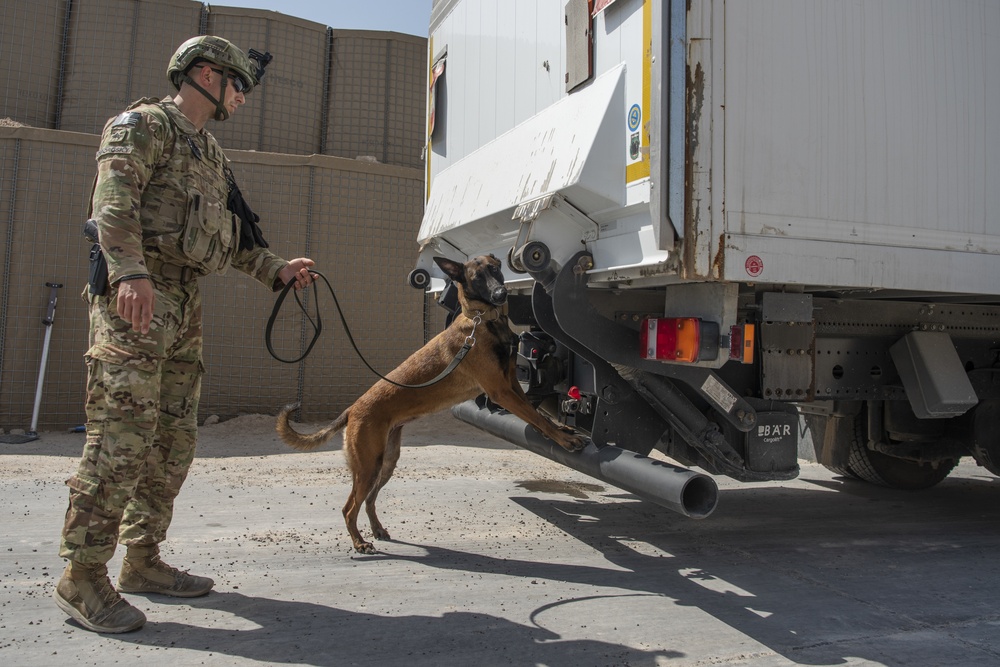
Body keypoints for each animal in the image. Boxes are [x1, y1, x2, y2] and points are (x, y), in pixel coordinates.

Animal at [278, 256, 584, 552]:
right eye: (476, 278)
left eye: (496, 269)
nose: (501, 293)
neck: (482, 320)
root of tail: (352, 409)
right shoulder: (501, 391)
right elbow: (536, 417)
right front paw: (564, 440)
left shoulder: (512, 384)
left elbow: (537, 415)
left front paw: (562, 432)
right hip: (368, 466)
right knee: (348, 507)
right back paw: (359, 542)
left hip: (386, 462)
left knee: (368, 500)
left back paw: (377, 530)